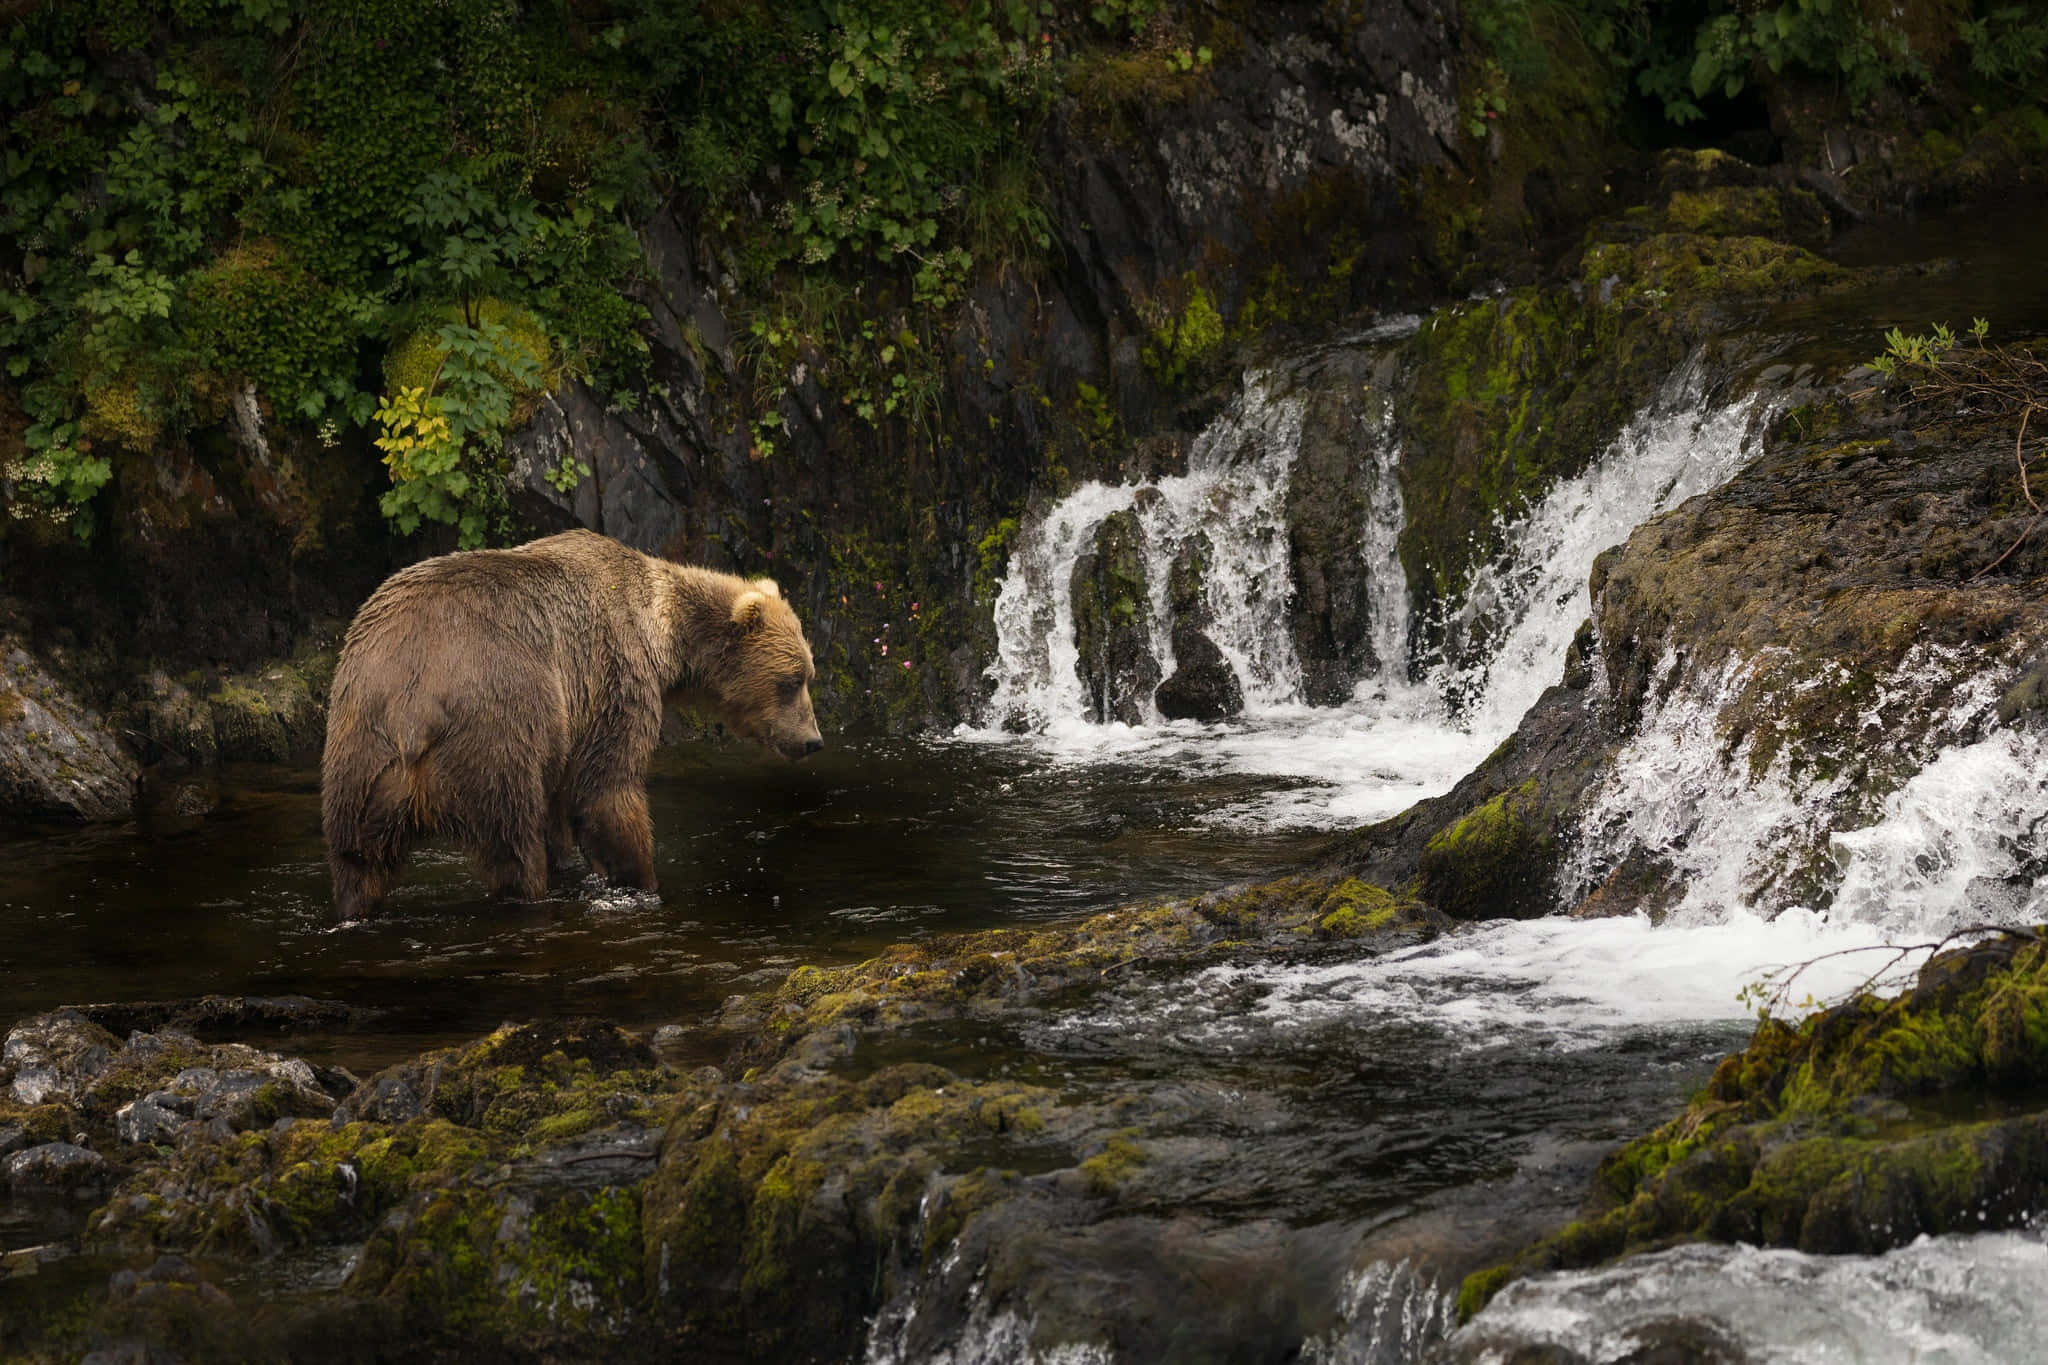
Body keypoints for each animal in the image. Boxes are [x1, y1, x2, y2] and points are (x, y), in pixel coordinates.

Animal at [320, 529, 821, 921]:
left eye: (808, 674)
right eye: (791, 680)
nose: (813, 740)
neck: (664, 633)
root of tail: (413, 709)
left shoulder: (568, 723)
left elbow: (560, 808)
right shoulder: (613, 674)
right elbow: (607, 789)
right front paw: (640, 880)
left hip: (360, 751)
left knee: (357, 860)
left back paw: (355, 908)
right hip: (496, 729)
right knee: (513, 845)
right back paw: (527, 895)